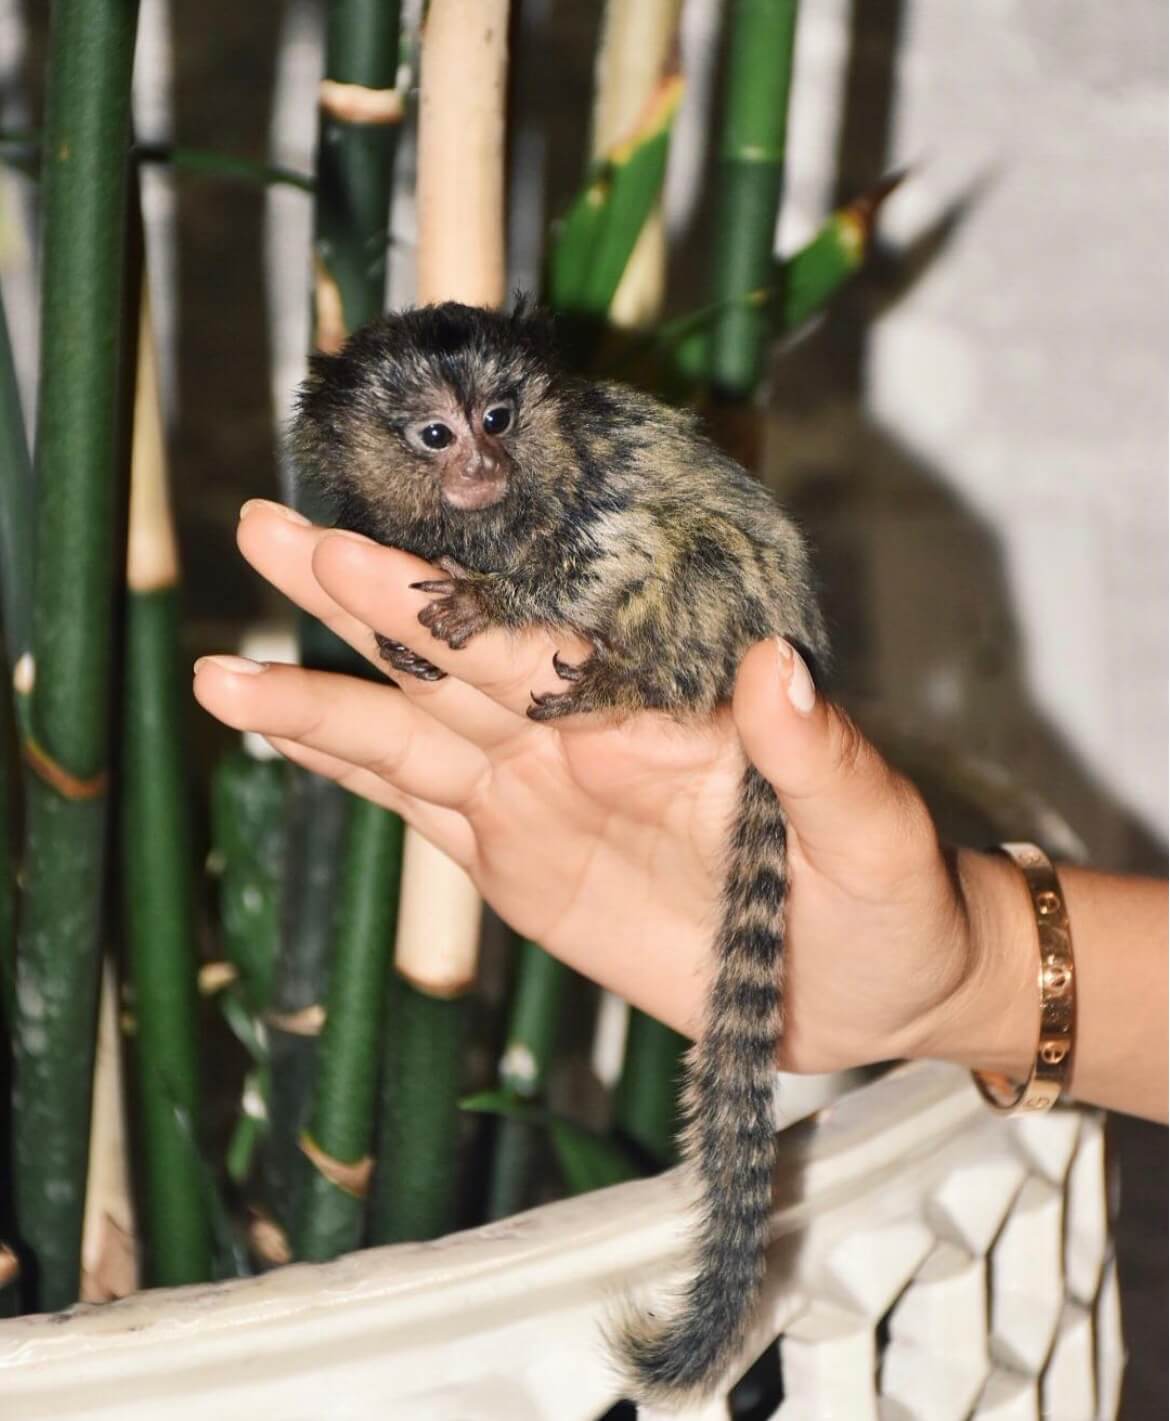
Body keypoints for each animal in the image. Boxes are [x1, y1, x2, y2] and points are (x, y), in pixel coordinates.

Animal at [291, 301, 829, 1405]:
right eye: (435, 435)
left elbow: (605, 555)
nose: (483, 461)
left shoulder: (593, 504)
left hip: (738, 622)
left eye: (498, 416)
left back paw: (628, 684)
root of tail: (791, 629)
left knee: (693, 566)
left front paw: (495, 601)